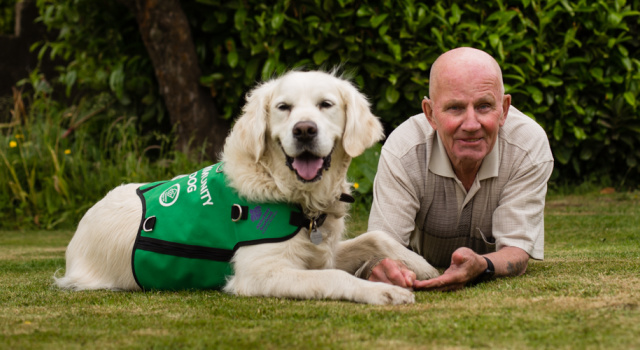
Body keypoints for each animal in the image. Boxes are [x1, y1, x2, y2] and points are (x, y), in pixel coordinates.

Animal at [55, 70, 440, 304]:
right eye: (283, 107)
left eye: (326, 104)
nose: (304, 130)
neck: (296, 200)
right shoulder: (260, 273)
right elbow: (334, 277)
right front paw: (382, 291)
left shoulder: (322, 250)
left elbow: (376, 238)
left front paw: (424, 267)